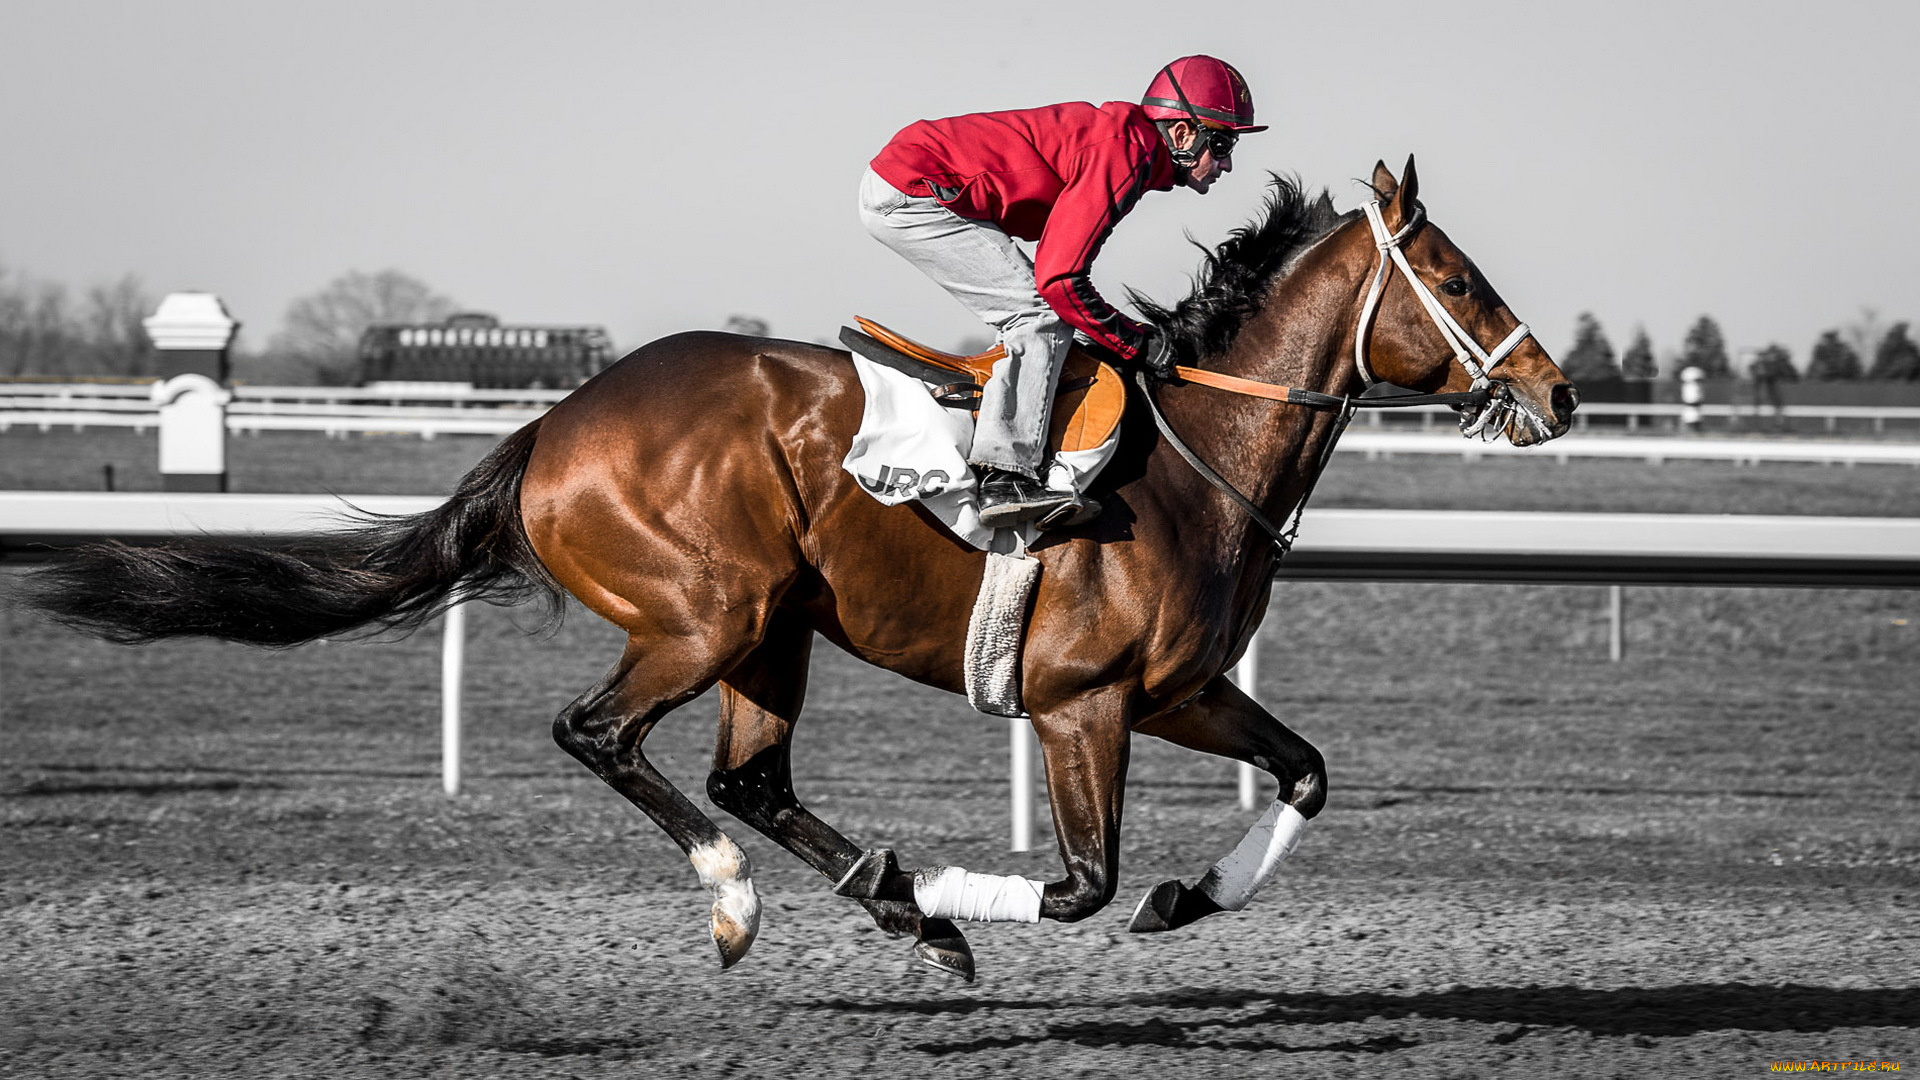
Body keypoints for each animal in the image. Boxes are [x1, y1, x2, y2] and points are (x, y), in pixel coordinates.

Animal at [27, 158, 1576, 982]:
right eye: (1458, 276)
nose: (1554, 394)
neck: (1193, 458)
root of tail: (551, 426)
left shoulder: (1179, 688)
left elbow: (1302, 773)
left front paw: (1190, 895)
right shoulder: (1080, 704)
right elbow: (1081, 881)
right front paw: (968, 887)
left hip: (774, 629)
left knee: (749, 779)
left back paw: (886, 903)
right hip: (706, 613)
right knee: (601, 737)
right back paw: (769, 899)